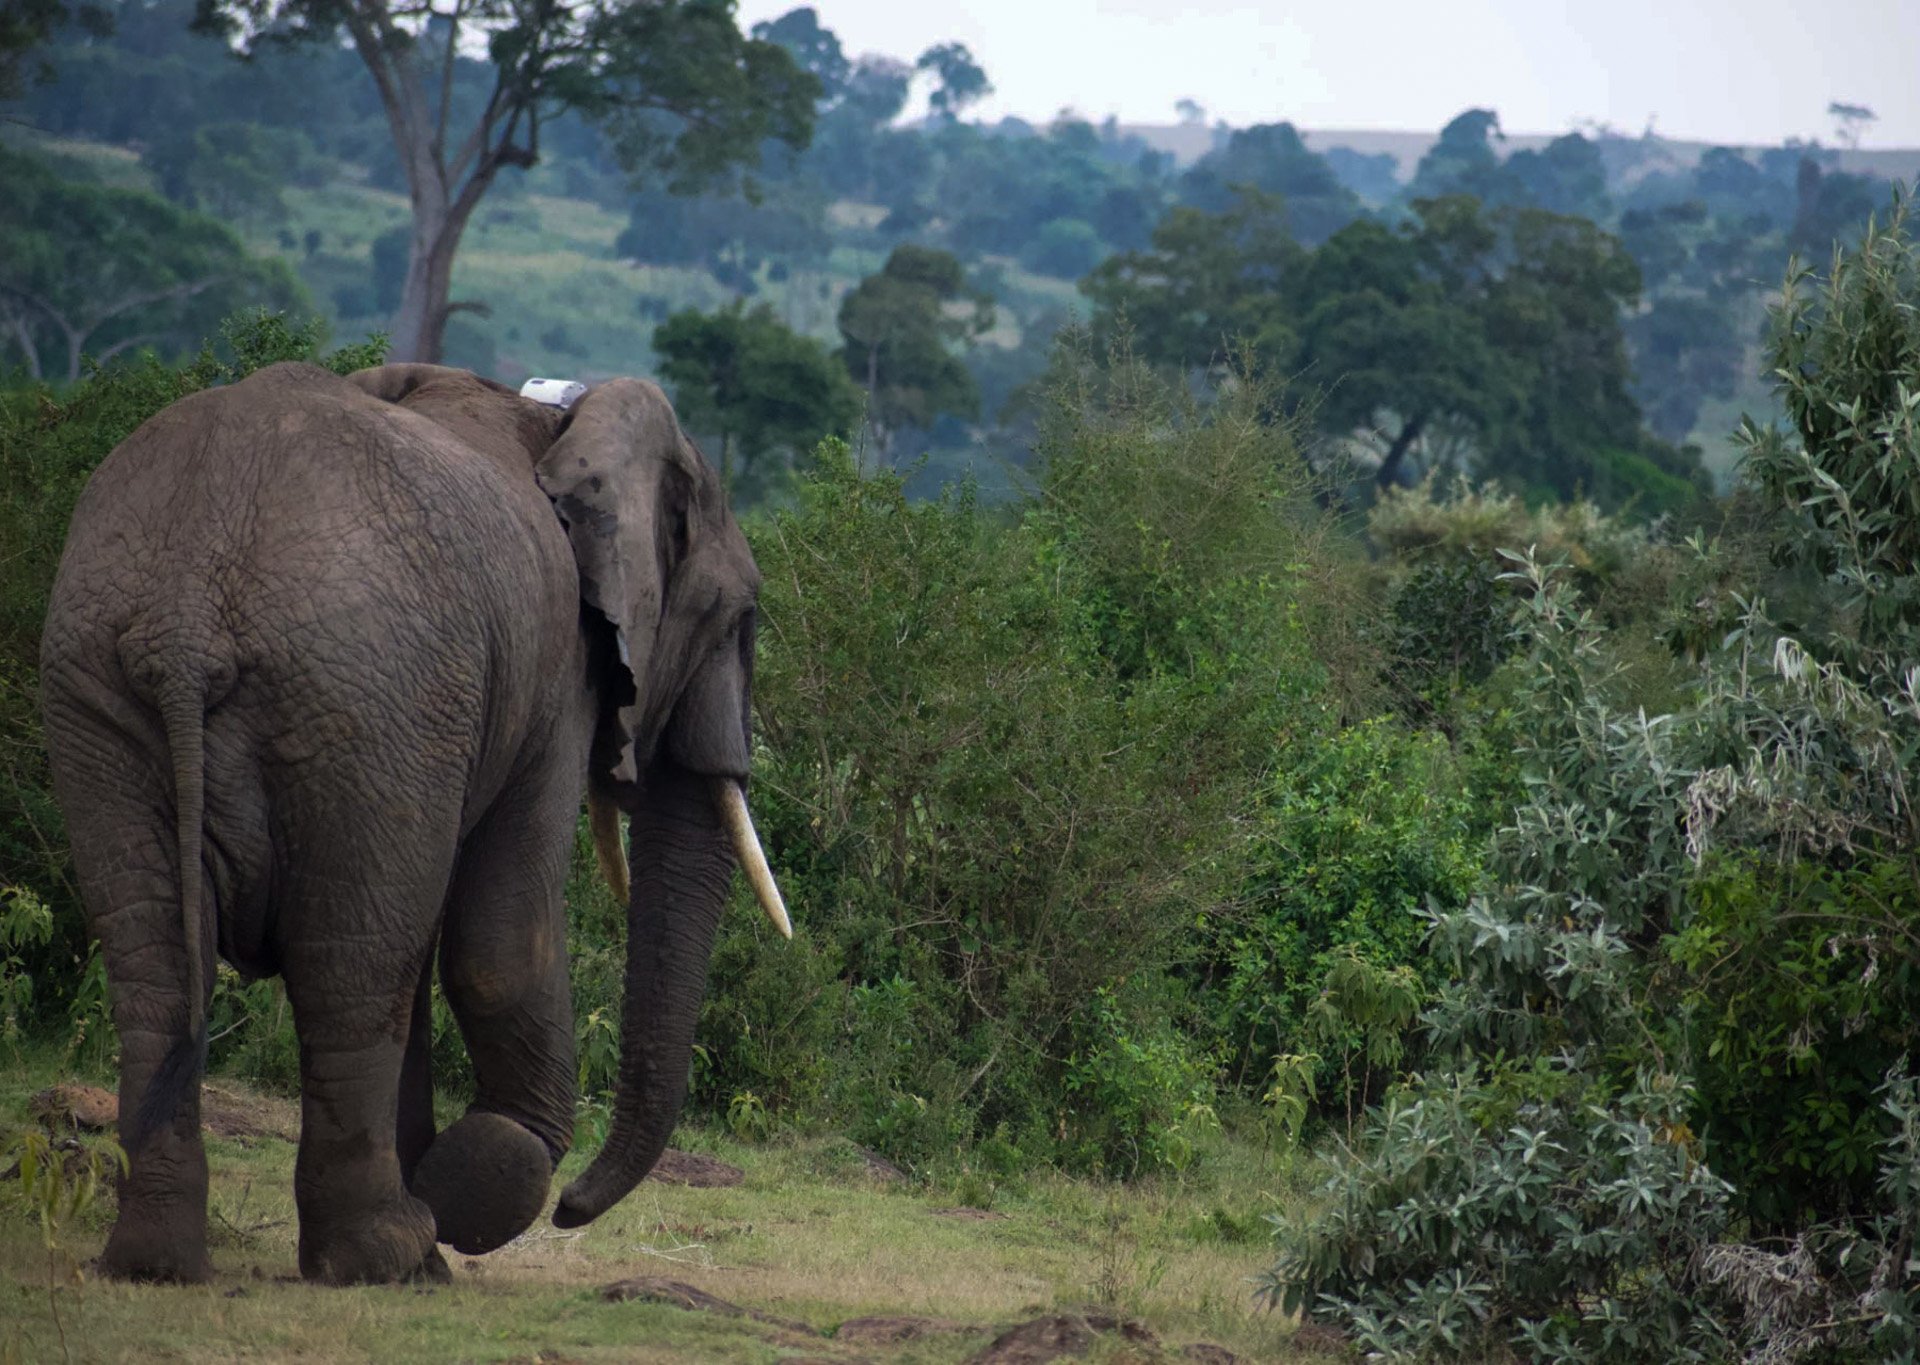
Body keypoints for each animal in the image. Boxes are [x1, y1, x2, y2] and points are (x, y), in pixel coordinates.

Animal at [39, 360, 787, 1282]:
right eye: (739, 617)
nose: (573, 1208)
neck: (565, 419)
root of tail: (186, 615)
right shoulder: (556, 676)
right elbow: (500, 942)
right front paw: (478, 1181)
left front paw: (445, 1210)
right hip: (370, 697)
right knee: (355, 971)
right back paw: (384, 1254)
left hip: (101, 692)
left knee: (161, 967)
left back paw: (159, 1264)